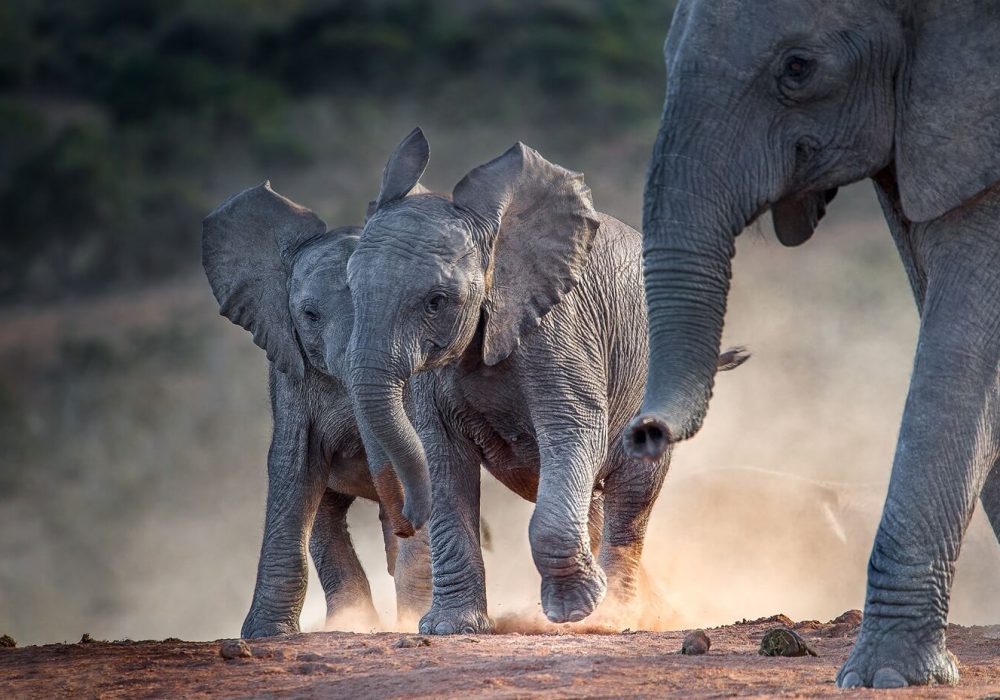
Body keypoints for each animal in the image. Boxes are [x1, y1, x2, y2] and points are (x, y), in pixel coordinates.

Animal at [202, 182, 430, 640]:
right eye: (309, 315)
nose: (405, 520)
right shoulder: (290, 370)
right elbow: (293, 466)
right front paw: (265, 635)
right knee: (325, 517)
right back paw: (353, 621)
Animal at [348, 127, 748, 636]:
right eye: (350, 290)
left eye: (437, 301)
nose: (403, 521)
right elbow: (444, 458)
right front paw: (450, 629)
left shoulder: (560, 330)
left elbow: (572, 429)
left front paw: (575, 612)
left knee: (630, 500)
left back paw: (616, 616)